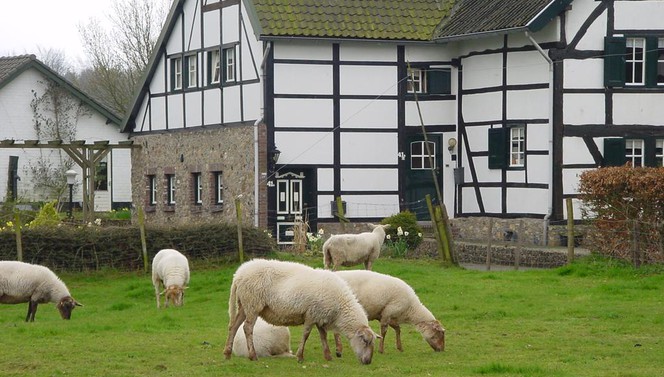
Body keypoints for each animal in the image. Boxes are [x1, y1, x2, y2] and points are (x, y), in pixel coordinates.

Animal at [223, 258, 378, 364]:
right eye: (365, 341)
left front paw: (328, 356)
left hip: (244, 305)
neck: (340, 307)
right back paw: (253, 355)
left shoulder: (320, 316)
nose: (368, 362)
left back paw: (227, 353)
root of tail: (238, 275)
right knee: (247, 328)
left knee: (233, 326)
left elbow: (323, 336)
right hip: (253, 304)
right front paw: (300, 357)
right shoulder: (311, 314)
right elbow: (306, 334)